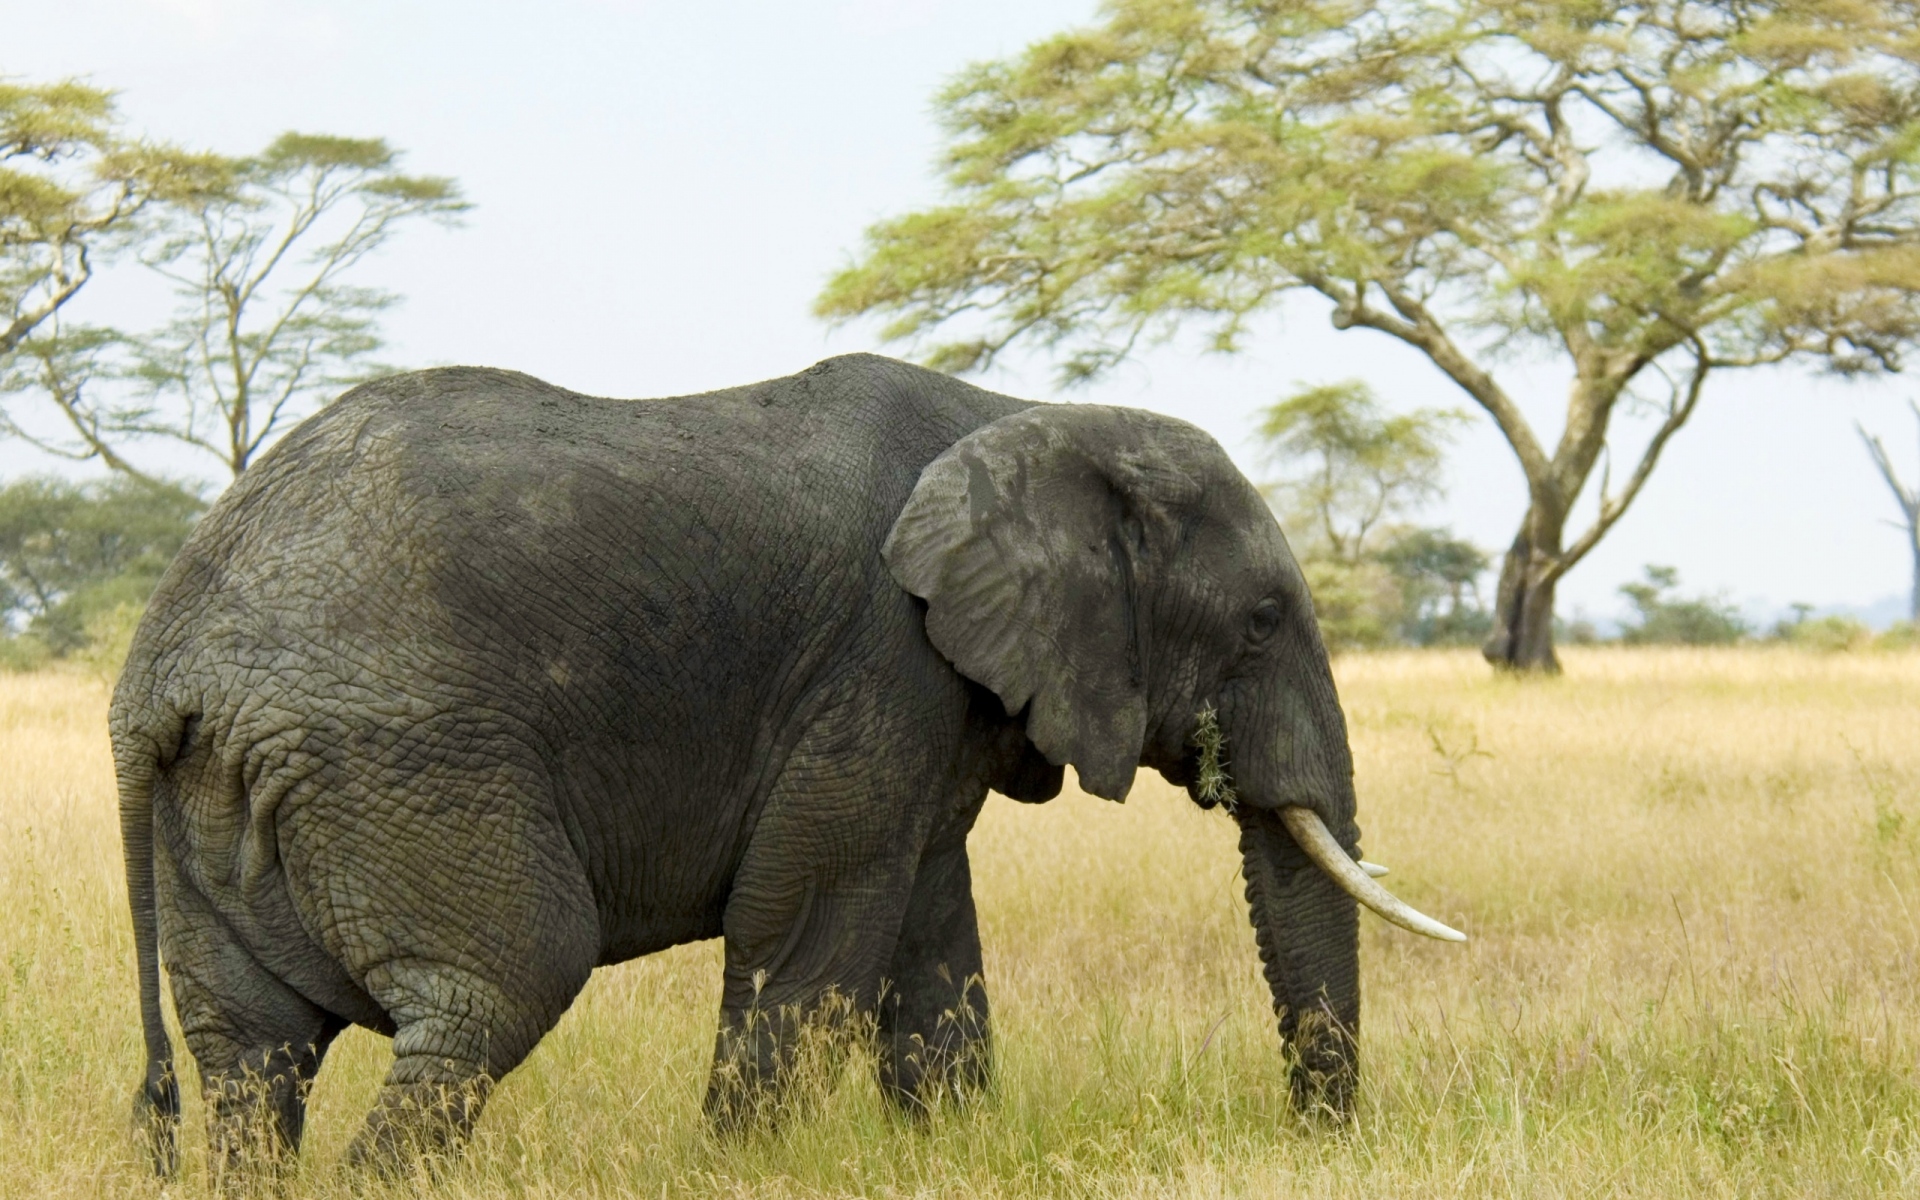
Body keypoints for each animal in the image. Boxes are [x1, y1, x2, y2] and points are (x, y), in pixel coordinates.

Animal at [112, 353, 1461, 1179]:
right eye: (1262, 623)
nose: (1317, 1141)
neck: (1025, 415)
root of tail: (161, 668)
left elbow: (928, 932)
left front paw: (947, 1156)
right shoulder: (880, 660)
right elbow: (809, 923)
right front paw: (741, 1171)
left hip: (230, 798)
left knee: (253, 1057)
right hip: (402, 759)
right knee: (495, 990)